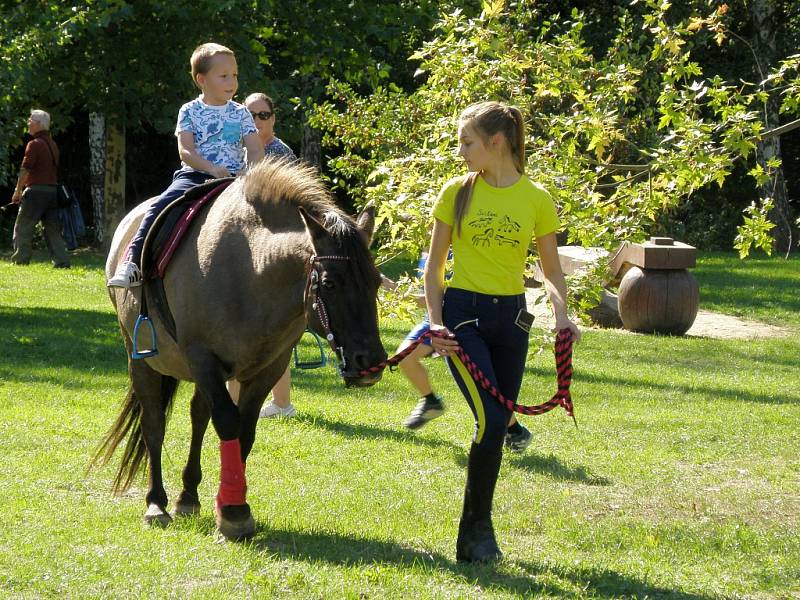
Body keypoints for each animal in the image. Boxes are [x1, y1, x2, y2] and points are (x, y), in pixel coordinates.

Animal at [94, 158, 388, 540]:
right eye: (329, 283)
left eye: (375, 282)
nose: (371, 362)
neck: (249, 268)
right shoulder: (203, 359)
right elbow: (227, 422)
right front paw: (234, 512)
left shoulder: (267, 369)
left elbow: (244, 429)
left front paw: (227, 506)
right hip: (141, 359)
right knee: (154, 423)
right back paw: (157, 503)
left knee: (197, 415)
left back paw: (188, 496)